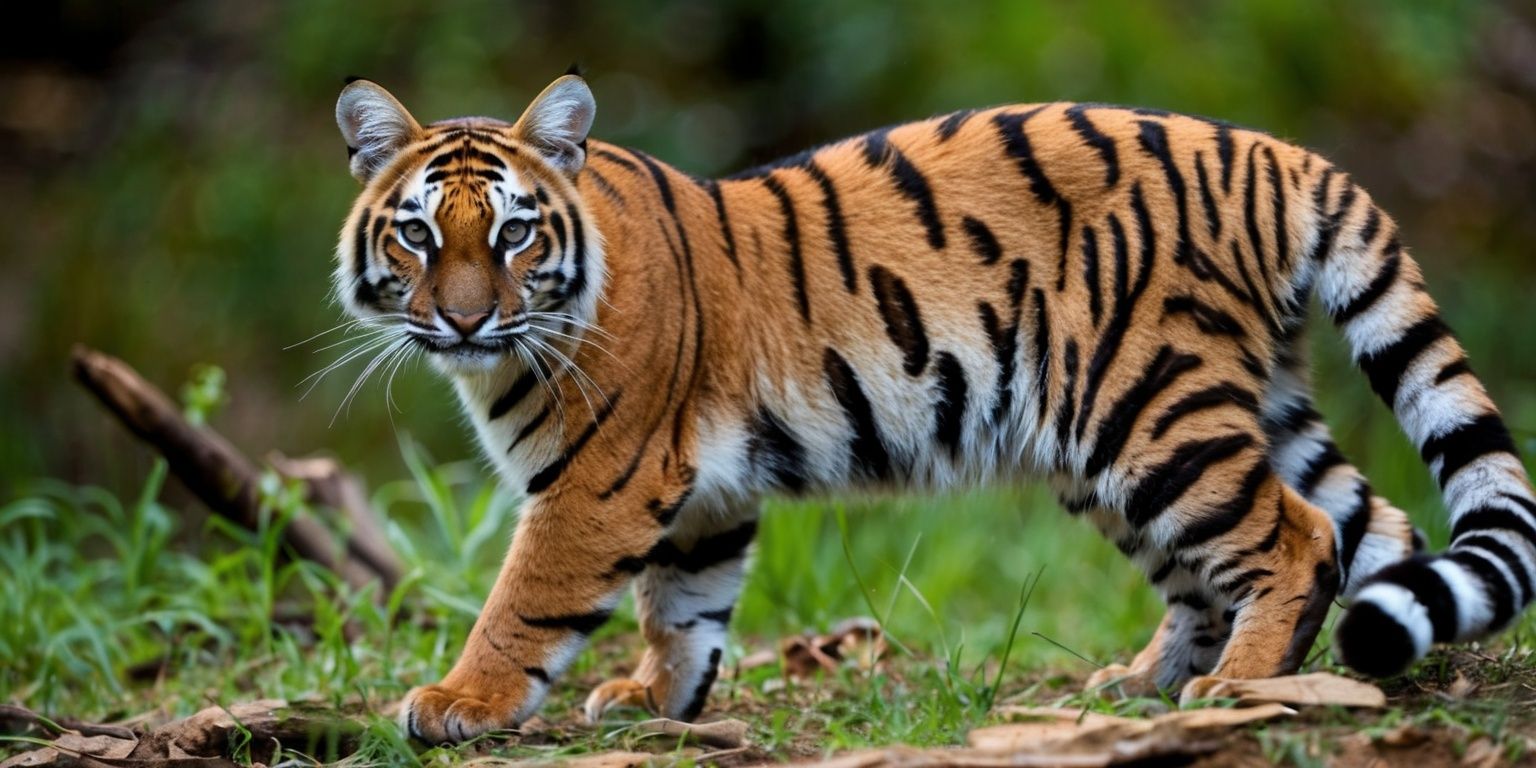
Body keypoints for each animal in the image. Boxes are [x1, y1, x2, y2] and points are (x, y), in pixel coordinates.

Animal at [331, 73, 1534, 743]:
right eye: (419, 234)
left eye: (515, 233)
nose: (466, 320)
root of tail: (1275, 154)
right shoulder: (696, 491)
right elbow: (685, 603)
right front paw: (654, 700)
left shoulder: (600, 477)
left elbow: (527, 600)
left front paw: (462, 701)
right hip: (1204, 414)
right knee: (1360, 528)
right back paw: (1189, 681)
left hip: (1151, 409)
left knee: (1293, 536)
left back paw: (1239, 692)